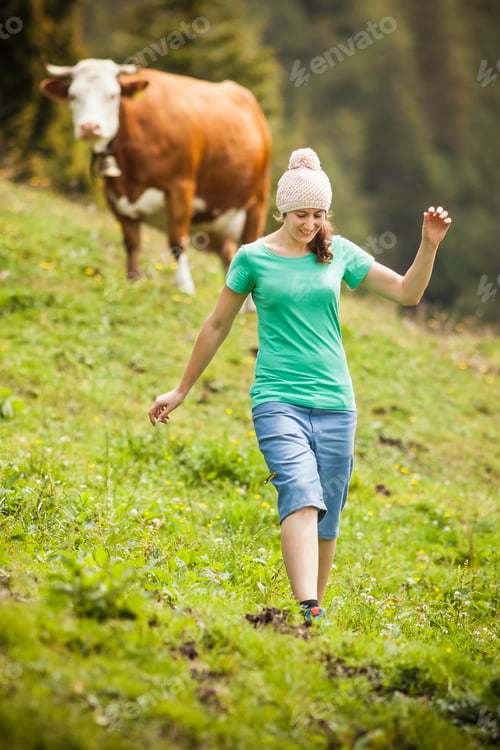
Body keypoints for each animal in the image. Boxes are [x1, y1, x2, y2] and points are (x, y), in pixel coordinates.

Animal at [39, 58, 271, 302]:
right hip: (215, 218)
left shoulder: (181, 189)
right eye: (73, 95)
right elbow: (131, 242)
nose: (90, 127)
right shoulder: (114, 196)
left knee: (250, 239)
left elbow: (177, 241)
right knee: (229, 253)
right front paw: (132, 280)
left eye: (113, 95)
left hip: (257, 201)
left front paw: (185, 288)